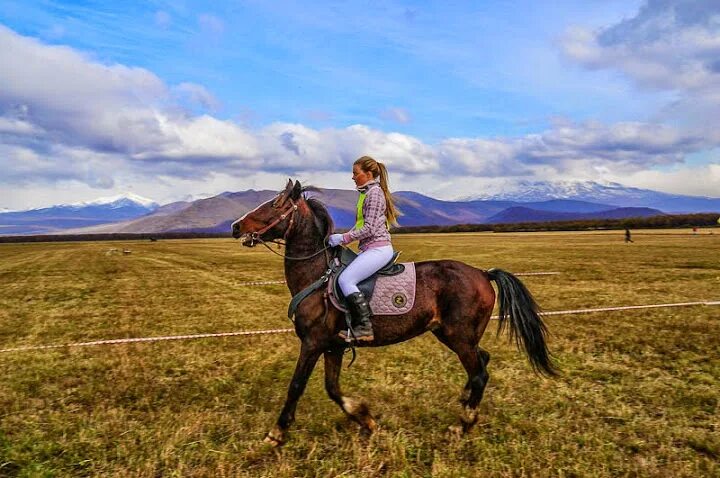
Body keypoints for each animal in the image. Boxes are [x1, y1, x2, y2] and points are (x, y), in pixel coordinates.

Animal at [231, 178, 556, 444]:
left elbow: (297, 385)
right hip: (453, 335)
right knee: (483, 360)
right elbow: (332, 388)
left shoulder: (313, 343)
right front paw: (366, 419)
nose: (236, 226)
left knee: (479, 373)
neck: (317, 274)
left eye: (274, 204)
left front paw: (276, 433)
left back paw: (462, 424)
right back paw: (465, 402)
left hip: (459, 336)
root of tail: (482, 273)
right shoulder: (332, 345)